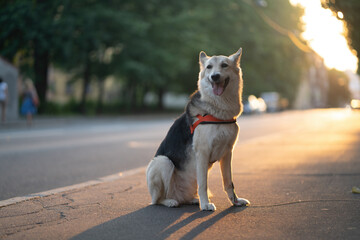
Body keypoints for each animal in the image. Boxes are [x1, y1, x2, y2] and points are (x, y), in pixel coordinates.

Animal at [146, 48, 250, 210]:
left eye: (224, 65)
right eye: (209, 67)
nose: (214, 76)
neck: (218, 110)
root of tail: (180, 197)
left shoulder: (227, 153)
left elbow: (228, 182)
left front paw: (235, 201)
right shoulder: (202, 153)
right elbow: (204, 184)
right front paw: (206, 204)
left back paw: (193, 200)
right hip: (163, 162)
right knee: (158, 200)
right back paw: (170, 201)